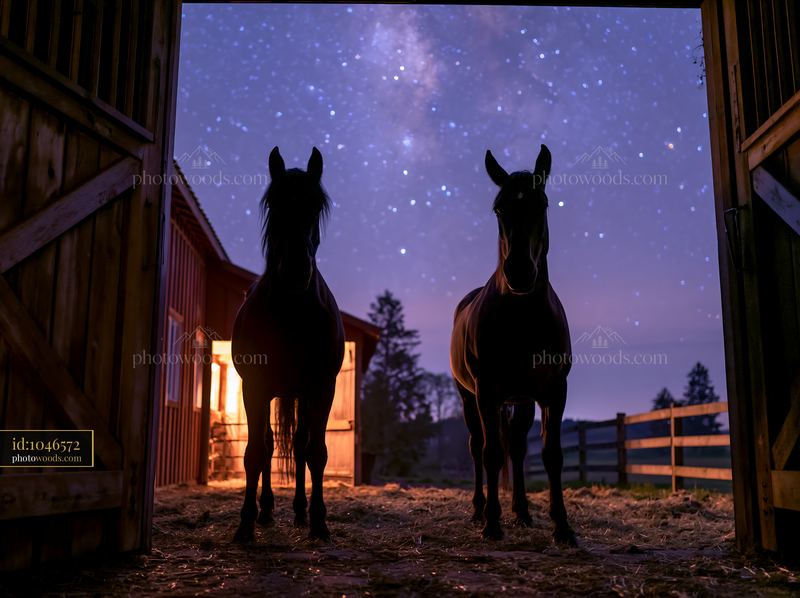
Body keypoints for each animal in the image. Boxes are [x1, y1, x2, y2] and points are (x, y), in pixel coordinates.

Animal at [231, 146, 345, 543]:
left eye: (316, 205)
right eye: (274, 204)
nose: (295, 270)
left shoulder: (322, 388)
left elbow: (316, 452)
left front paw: (320, 522)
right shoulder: (254, 387)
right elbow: (255, 452)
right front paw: (245, 524)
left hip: (300, 395)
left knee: (297, 446)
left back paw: (298, 511)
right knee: (268, 445)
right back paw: (265, 511)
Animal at [450, 144, 575, 545]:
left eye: (543, 204)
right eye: (498, 208)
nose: (519, 272)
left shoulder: (554, 391)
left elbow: (551, 454)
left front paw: (562, 526)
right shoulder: (486, 391)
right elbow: (490, 453)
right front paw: (492, 522)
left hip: (521, 399)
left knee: (517, 448)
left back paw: (521, 511)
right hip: (469, 397)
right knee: (478, 447)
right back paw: (479, 509)